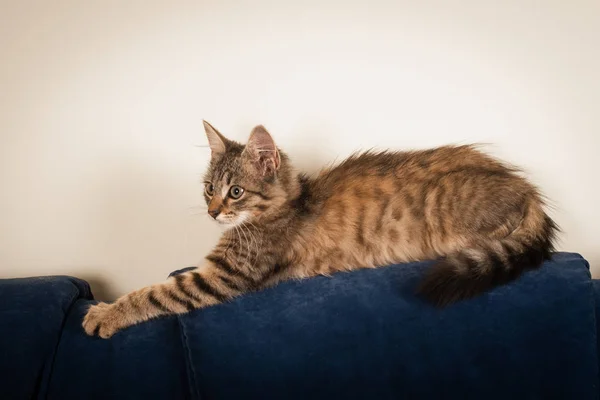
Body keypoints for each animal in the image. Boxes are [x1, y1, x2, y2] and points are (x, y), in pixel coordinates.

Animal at [83, 121, 556, 338]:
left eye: (235, 192)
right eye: (209, 190)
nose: (214, 213)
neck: (288, 203)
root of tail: (527, 189)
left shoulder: (224, 275)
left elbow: (157, 292)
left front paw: (105, 314)